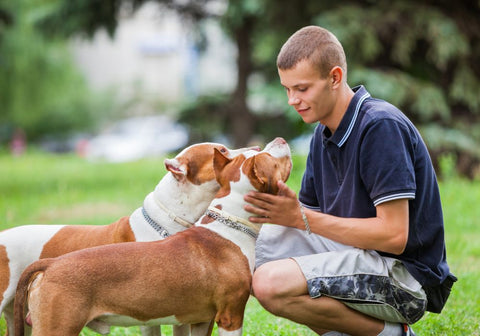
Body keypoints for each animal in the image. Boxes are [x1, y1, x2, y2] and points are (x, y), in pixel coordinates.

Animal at [14, 137, 292, 336]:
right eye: (269, 158)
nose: (277, 139)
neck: (227, 225)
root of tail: (51, 264)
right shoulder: (230, 315)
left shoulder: (201, 320)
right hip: (57, 327)